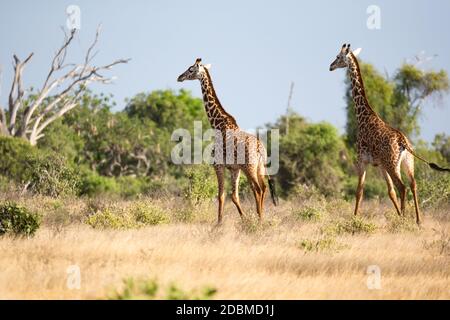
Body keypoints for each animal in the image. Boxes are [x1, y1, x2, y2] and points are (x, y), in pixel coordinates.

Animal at [177, 58, 276, 222]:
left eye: (191, 69)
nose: (179, 77)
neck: (218, 125)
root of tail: (260, 149)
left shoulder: (218, 165)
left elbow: (221, 195)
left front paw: (219, 223)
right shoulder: (234, 168)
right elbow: (234, 196)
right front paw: (243, 219)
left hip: (249, 167)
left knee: (257, 189)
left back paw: (259, 219)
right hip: (259, 167)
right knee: (263, 187)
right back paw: (260, 218)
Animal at [328, 43, 448, 225]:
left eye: (338, 57)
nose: (330, 66)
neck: (363, 116)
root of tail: (403, 143)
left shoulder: (361, 160)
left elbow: (359, 191)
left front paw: (354, 219)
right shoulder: (380, 165)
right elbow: (390, 192)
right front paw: (397, 214)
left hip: (393, 164)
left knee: (402, 187)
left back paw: (405, 220)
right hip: (407, 162)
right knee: (413, 184)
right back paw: (418, 221)